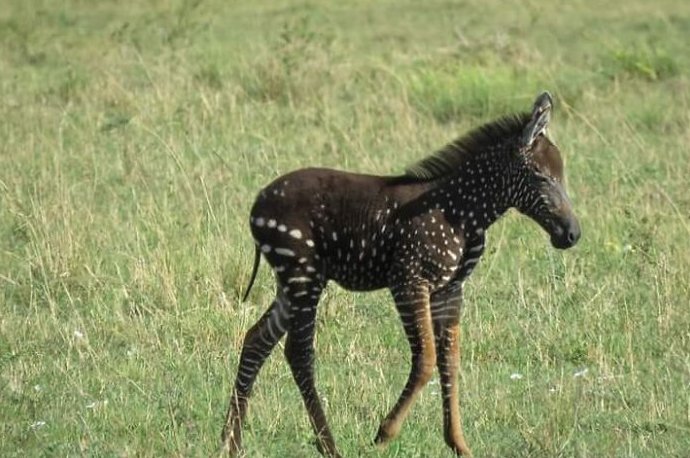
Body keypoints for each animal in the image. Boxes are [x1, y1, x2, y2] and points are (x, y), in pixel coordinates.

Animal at [223, 91, 576, 456]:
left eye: (561, 175)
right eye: (541, 176)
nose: (571, 234)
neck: (464, 212)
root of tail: (257, 204)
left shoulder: (450, 289)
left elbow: (450, 361)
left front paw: (458, 443)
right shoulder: (408, 281)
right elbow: (426, 359)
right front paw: (385, 432)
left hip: (293, 283)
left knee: (256, 340)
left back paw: (231, 441)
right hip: (302, 274)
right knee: (299, 353)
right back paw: (328, 445)